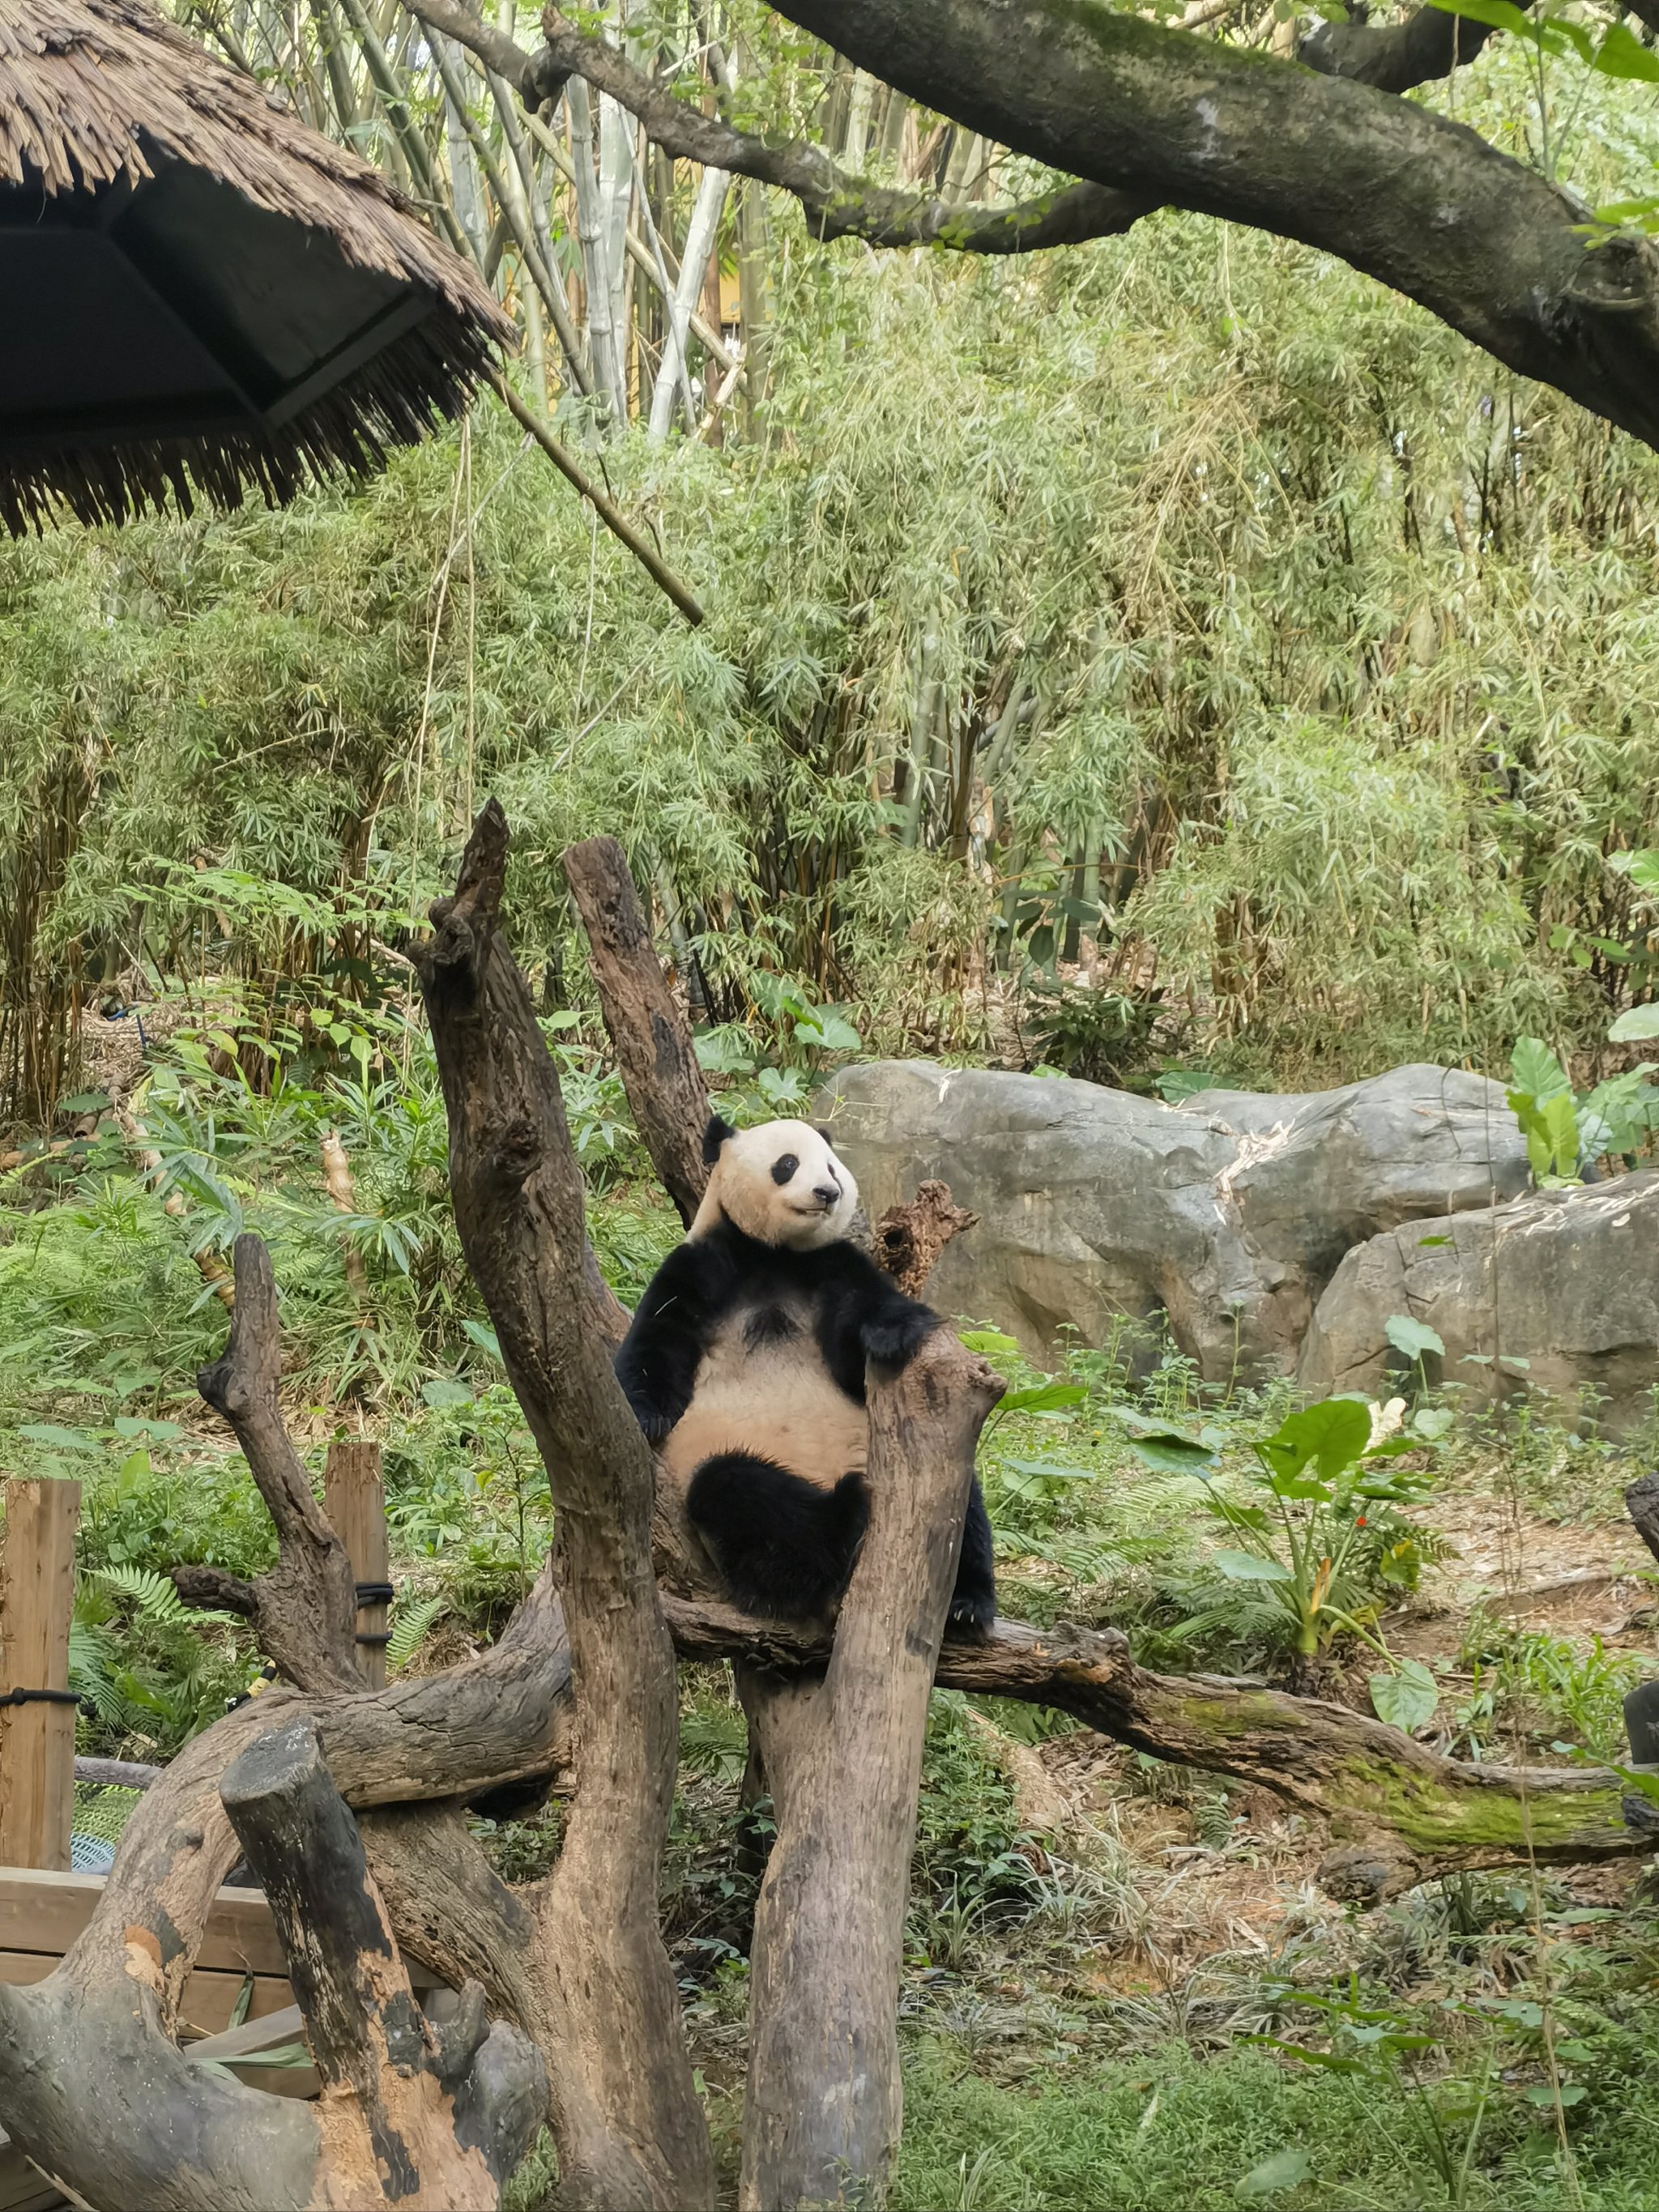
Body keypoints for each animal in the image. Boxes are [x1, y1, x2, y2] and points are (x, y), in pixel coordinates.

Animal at [615, 1115, 995, 1636]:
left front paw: (895, 1332)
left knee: (963, 1509)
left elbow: (863, 1330)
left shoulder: (831, 1266)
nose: (827, 1192)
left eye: (832, 1167)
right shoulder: (700, 1267)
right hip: (721, 1481)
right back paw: (843, 1517)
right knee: (742, 1497)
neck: (775, 1255)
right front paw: (647, 1416)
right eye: (787, 1164)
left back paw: (965, 1603)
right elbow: (656, 1338)